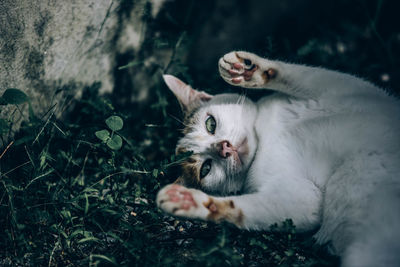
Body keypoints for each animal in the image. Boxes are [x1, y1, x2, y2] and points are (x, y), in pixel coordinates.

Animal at [156, 51, 400, 266]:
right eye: (206, 168)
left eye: (210, 124)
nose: (224, 148)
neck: (266, 138)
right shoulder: (303, 198)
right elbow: (247, 208)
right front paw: (191, 201)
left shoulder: (352, 91)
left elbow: (304, 74)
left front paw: (247, 69)